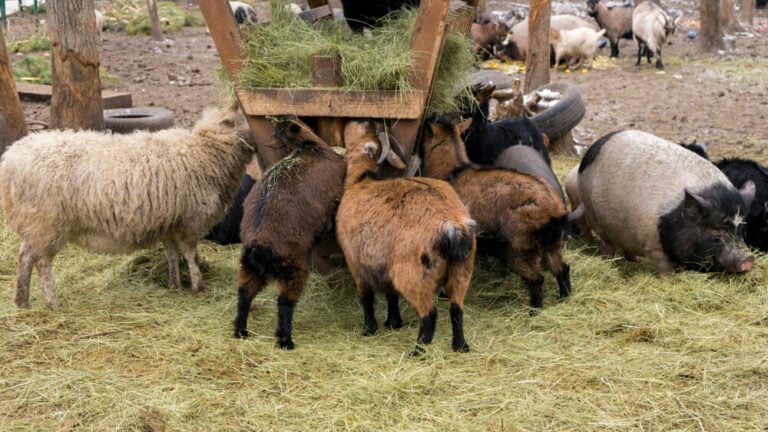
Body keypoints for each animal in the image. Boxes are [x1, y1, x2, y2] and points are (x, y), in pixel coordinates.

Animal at [0, 104, 254, 308]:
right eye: (243, 119)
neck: (205, 151)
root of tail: (10, 160)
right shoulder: (190, 222)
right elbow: (191, 256)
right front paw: (199, 287)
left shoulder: (169, 223)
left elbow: (172, 254)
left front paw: (174, 284)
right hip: (48, 224)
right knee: (42, 263)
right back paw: (53, 302)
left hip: (34, 224)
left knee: (24, 256)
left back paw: (22, 300)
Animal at [234, 117, 346, 350]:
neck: (309, 148)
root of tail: (260, 246)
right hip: (293, 267)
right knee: (285, 301)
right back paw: (286, 340)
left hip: (249, 268)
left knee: (244, 293)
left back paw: (241, 330)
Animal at [336, 119, 477, 355]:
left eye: (363, 128)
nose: (359, 120)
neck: (362, 180)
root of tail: (452, 227)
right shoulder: (384, 263)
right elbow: (391, 294)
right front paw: (393, 323)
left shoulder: (354, 260)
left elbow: (366, 297)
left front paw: (369, 329)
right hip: (462, 270)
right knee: (456, 309)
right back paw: (460, 346)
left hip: (412, 273)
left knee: (429, 313)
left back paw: (418, 351)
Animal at [423, 115, 577, 314]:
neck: (454, 171)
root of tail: (554, 210)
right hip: (551, 243)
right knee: (562, 269)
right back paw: (565, 298)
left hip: (520, 247)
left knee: (536, 279)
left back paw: (534, 312)